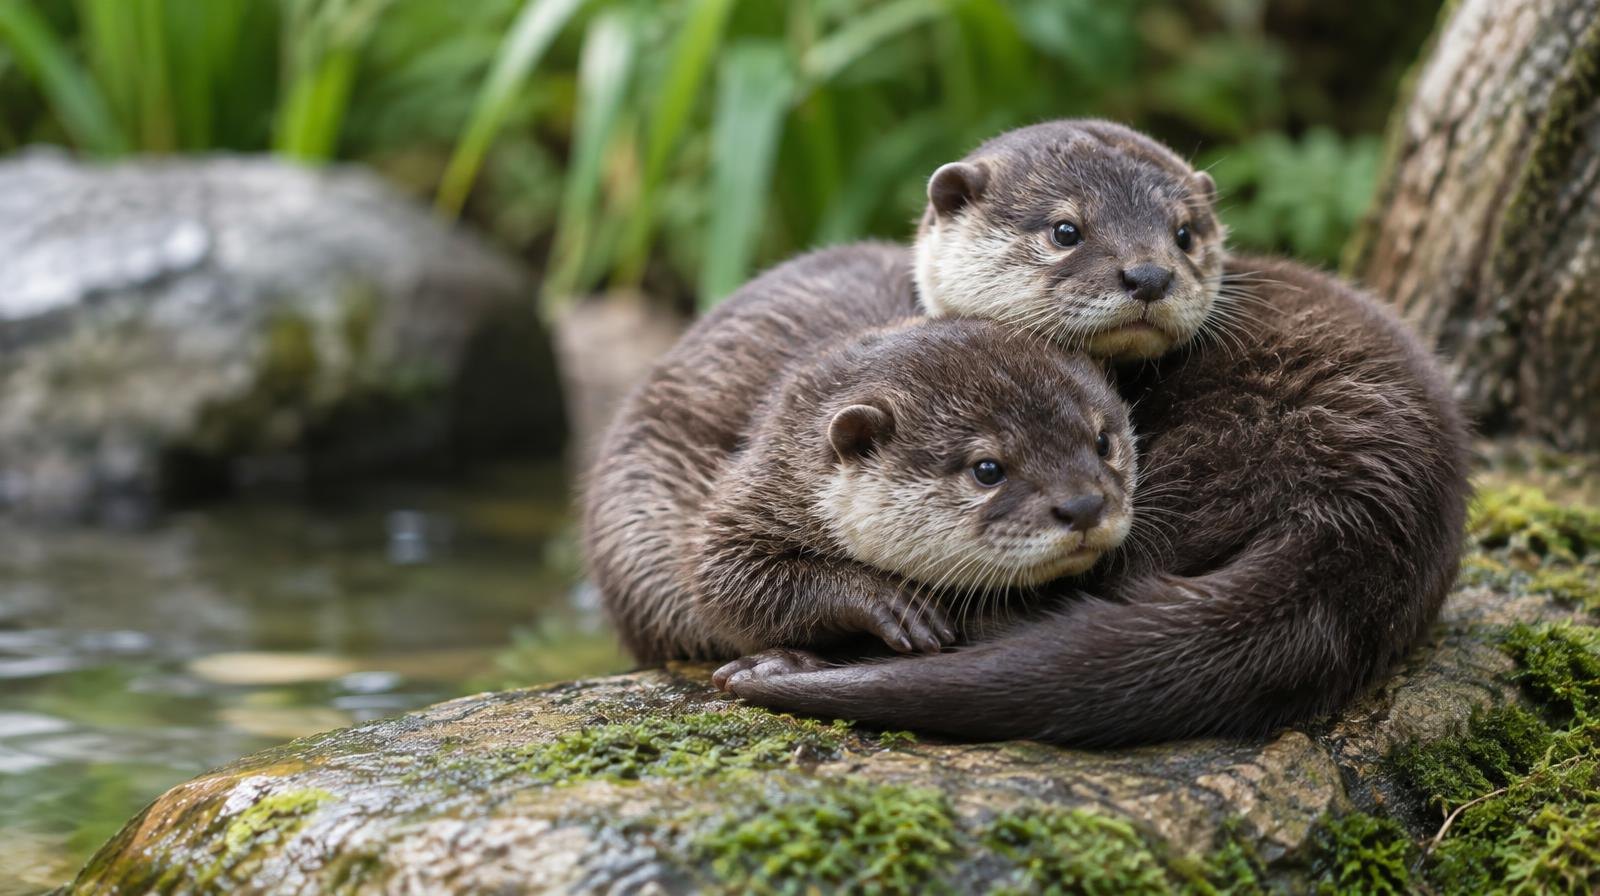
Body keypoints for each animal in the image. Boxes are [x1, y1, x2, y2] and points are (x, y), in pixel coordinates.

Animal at [584, 247, 1135, 664]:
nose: (1084, 506)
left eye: (1102, 442)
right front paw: (890, 602)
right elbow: (718, 577)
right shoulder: (763, 478)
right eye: (987, 470)